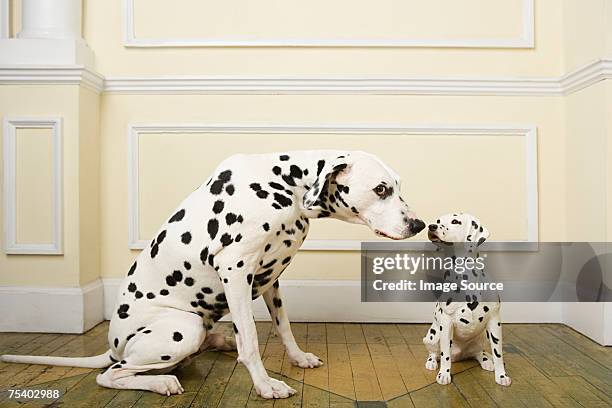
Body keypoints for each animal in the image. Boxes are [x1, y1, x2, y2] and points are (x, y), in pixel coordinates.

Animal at [2, 150, 426, 398]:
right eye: (381, 189)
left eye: (397, 186)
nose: (419, 224)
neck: (286, 184)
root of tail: (113, 344)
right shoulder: (235, 271)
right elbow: (251, 341)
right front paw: (266, 385)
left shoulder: (270, 280)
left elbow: (284, 327)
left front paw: (298, 357)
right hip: (181, 328)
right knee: (112, 375)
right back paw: (160, 381)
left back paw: (216, 342)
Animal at [420, 214, 512, 386]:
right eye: (438, 221)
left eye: (455, 221)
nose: (431, 226)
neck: (466, 275)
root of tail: (459, 355)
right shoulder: (446, 323)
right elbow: (445, 355)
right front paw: (444, 374)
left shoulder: (495, 321)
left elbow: (498, 354)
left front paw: (501, 376)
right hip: (432, 336)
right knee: (434, 352)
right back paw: (432, 362)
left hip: (482, 337)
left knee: (479, 353)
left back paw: (486, 361)